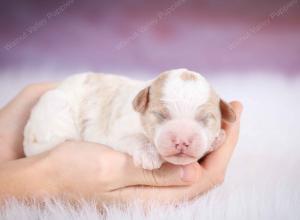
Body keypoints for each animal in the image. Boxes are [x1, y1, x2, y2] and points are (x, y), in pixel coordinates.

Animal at [23, 69, 236, 169]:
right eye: (161, 115)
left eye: (205, 119)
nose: (182, 141)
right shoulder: (118, 131)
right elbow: (137, 139)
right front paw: (149, 155)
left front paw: (216, 139)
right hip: (55, 109)